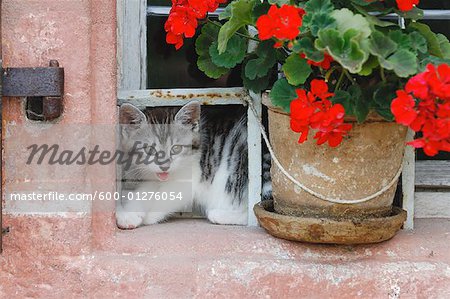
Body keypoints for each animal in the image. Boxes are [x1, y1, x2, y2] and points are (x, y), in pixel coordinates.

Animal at [116, 102, 250, 229]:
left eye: (176, 148)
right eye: (149, 149)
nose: (165, 166)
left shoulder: (191, 176)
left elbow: (171, 195)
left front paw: (149, 216)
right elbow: (147, 189)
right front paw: (127, 215)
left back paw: (219, 215)